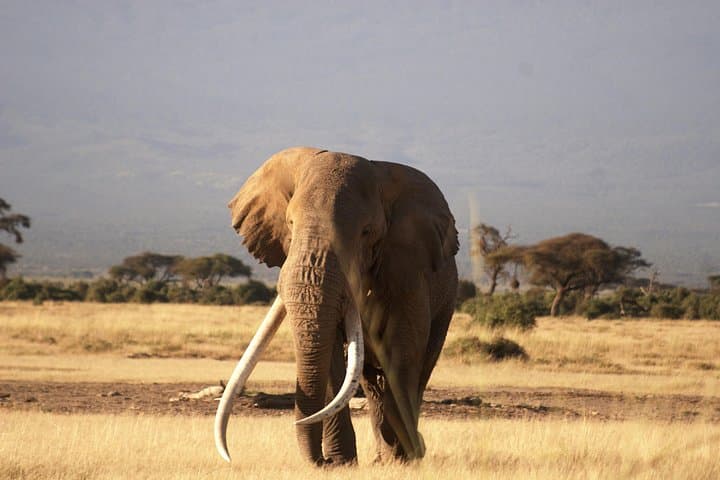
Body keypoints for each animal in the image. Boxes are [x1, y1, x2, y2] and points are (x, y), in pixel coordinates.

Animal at [215, 147, 458, 465]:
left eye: (366, 232)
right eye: (290, 223)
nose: (321, 461)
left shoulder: (407, 272)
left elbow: (401, 352)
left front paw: (401, 461)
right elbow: (330, 353)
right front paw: (342, 464)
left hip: (446, 302)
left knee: (417, 367)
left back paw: (405, 454)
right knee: (370, 381)